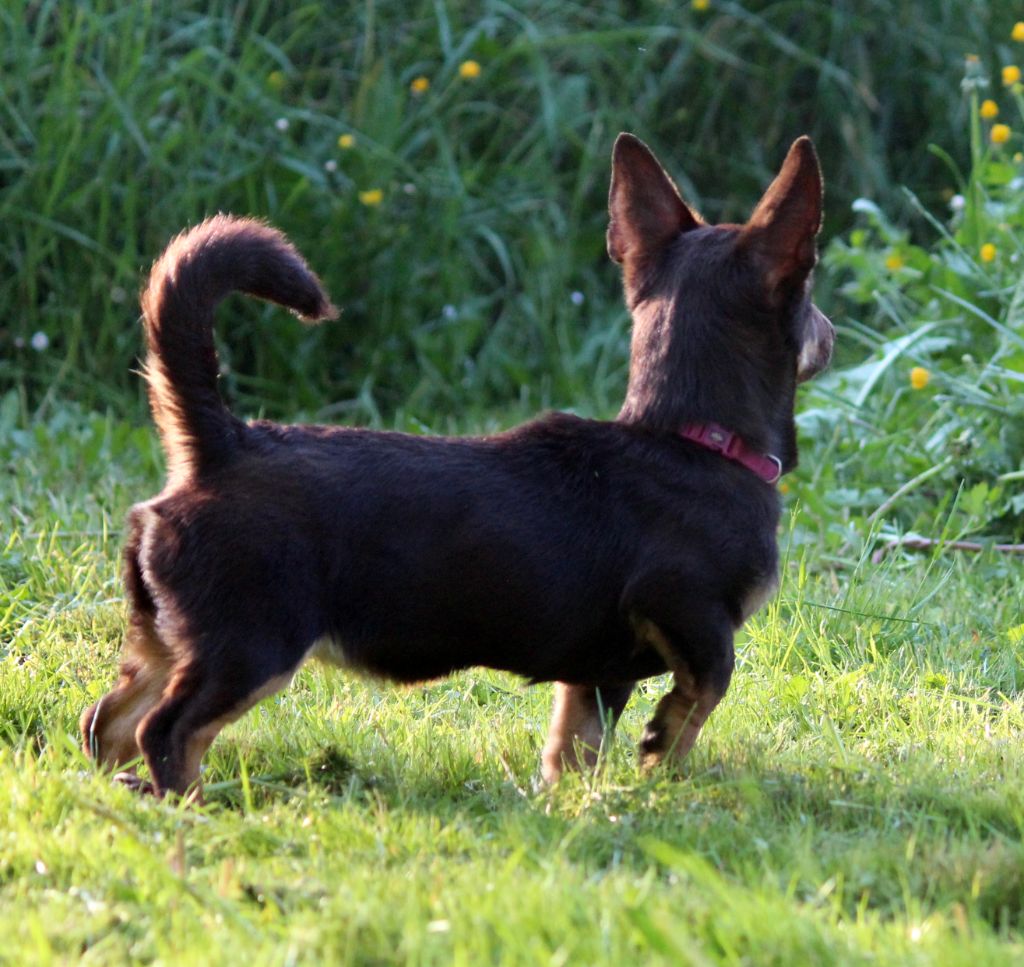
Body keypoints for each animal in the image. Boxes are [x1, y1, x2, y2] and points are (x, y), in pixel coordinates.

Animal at [79, 136, 831, 799]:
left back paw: (128, 796)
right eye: (812, 298)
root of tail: (223, 443)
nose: (830, 334)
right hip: (252, 646)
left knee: (106, 721)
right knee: (167, 731)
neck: (692, 438)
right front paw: (660, 753)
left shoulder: (594, 675)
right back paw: (190, 806)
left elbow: (573, 747)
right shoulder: (690, 612)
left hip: (172, 639)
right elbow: (706, 689)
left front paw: (575, 805)